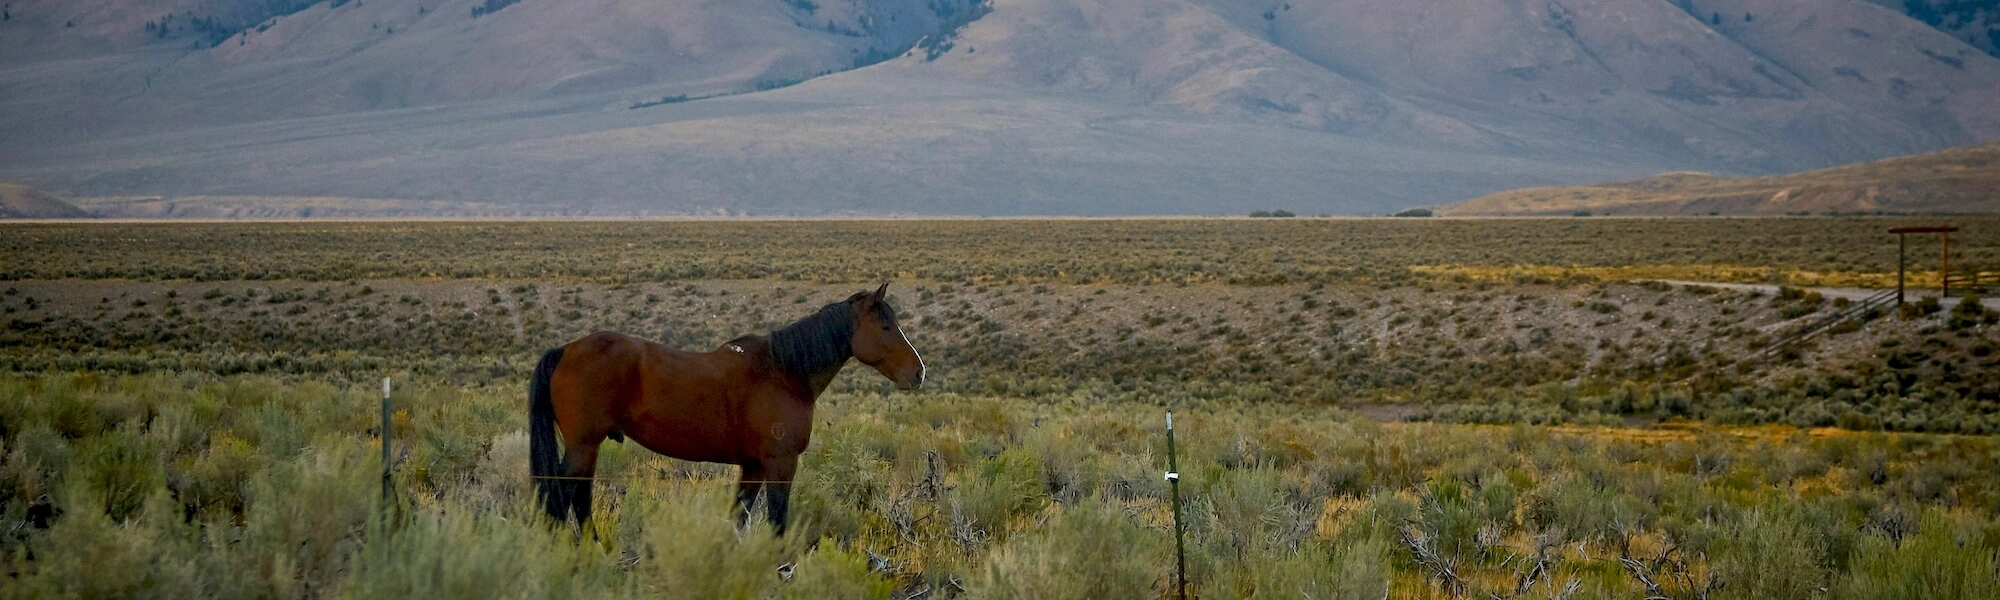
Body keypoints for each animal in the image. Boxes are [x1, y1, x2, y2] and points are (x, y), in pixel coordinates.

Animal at [528, 284, 924, 534]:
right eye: (885, 326)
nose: (918, 372)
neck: (783, 372)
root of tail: (565, 350)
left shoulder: (752, 466)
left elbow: (739, 519)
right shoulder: (780, 464)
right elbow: (777, 524)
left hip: (590, 447)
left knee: (579, 500)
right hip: (582, 446)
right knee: (561, 499)